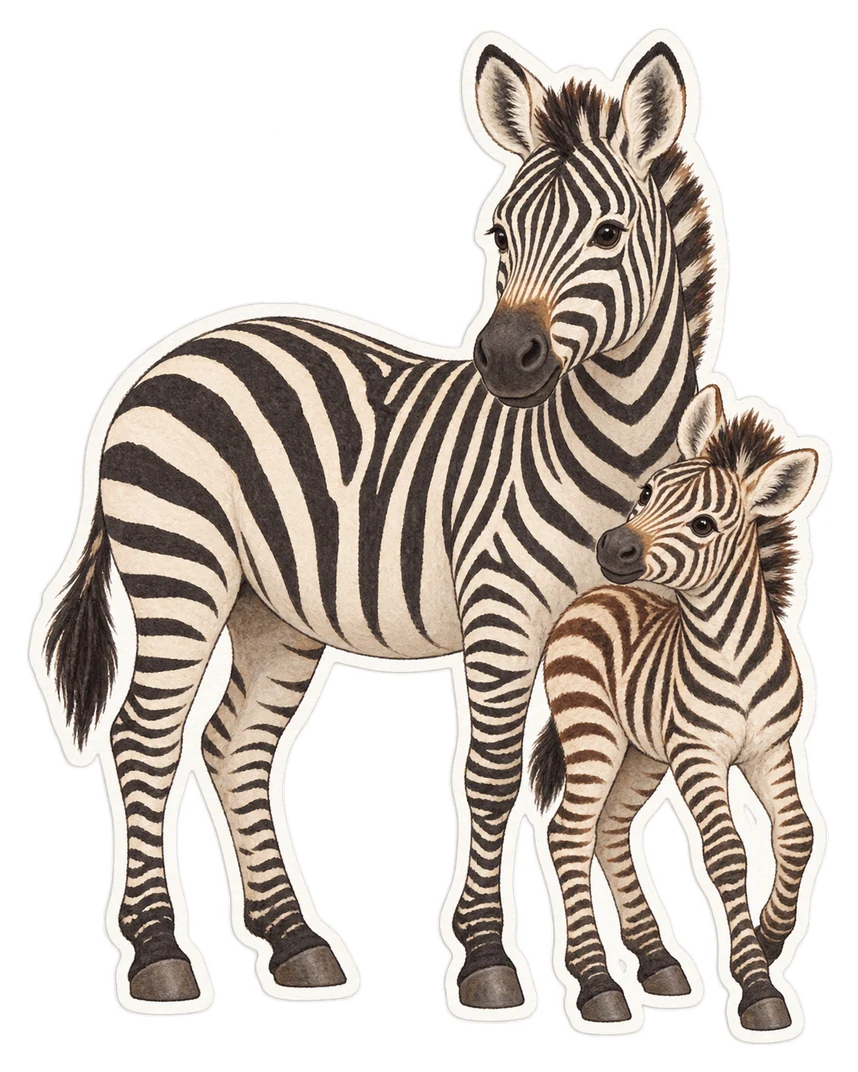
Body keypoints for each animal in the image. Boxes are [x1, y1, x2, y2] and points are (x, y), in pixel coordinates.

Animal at [43, 38, 719, 1010]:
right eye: (499, 233)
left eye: (608, 235)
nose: (505, 360)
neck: (610, 450)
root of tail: (169, 359)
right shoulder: (504, 614)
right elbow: (491, 778)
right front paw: (489, 959)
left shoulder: (634, 631)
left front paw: (644, 963)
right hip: (180, 571)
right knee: (146, 738)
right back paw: (160, 951)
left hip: (272, 609)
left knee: (231, 743)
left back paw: (293, 942)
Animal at [533, 384, 818, 1031]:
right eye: (646, 492)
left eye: (704, 524)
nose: (613, 545)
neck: (732, 654)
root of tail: (592, 596)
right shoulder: (698, 754)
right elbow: (728, 853)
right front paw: (757, 986)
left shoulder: (769, 749)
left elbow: (796, 834)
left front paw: (766, 939)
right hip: (593, 732)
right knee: (568, 832)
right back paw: (598, 983)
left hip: (643, 753)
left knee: (609, 828)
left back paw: (657, 961)